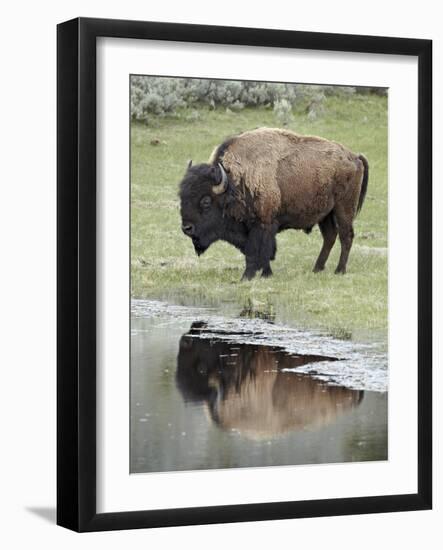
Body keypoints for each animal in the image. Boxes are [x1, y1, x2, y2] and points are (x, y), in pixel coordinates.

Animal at [179, 128, 370, 280]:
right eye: (182, 196)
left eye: (206, 201)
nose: (186, 228)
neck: (233, 184)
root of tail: (354, 157)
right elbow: (263, 252)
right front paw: (266, 274)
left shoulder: (262, 224)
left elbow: (256, 251)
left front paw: (247, 276)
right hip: (325, 214)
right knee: (330, 236)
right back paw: (317, 269)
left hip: (343, 208)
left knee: (346, 236)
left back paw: (339, 270)